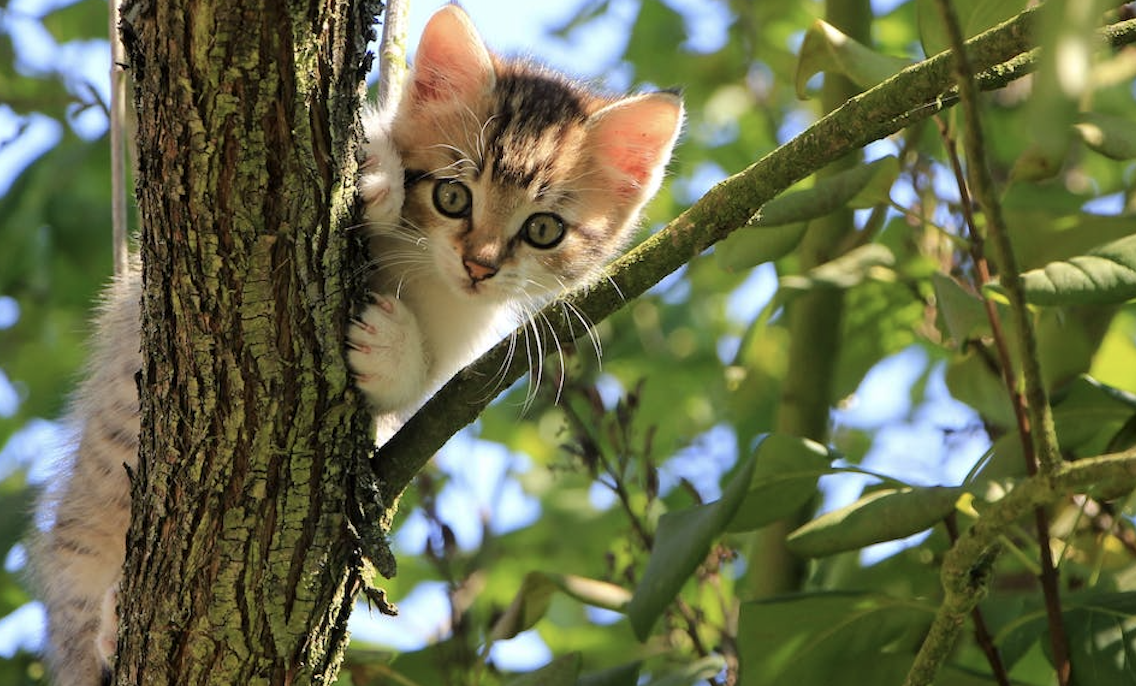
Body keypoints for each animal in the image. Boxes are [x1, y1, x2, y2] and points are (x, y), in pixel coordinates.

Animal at [31, 6, 677, 686]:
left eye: (544, 229)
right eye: (453, 195)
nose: (479, 266)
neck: (423, 273)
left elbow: (414, 387)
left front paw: (390, 345)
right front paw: (375, 171)